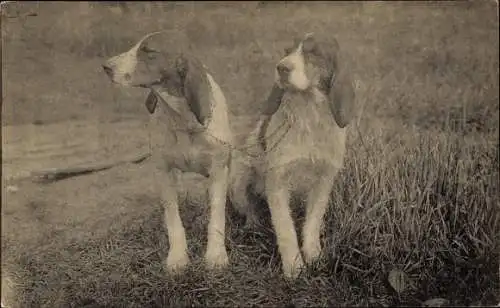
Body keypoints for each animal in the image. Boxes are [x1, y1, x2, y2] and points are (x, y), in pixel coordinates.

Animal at [103, 31, 234, 272]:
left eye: (148, 50)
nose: (106, 66)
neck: (182, 121)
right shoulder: (163, 172)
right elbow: (173, 219)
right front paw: (177, 258)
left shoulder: (219, 170)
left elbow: (216, 215)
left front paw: (216, 255)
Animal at [230, 33, 356, 280]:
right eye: (286, 51)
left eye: (313, 52)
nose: (281, 68)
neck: (308, 114)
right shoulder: (277, 181)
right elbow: (286, 229)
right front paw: (294, 267)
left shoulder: (324, 181)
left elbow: (312, 222)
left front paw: (314, 255)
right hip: (238, 183)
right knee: (249, 208)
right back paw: (253, 224)